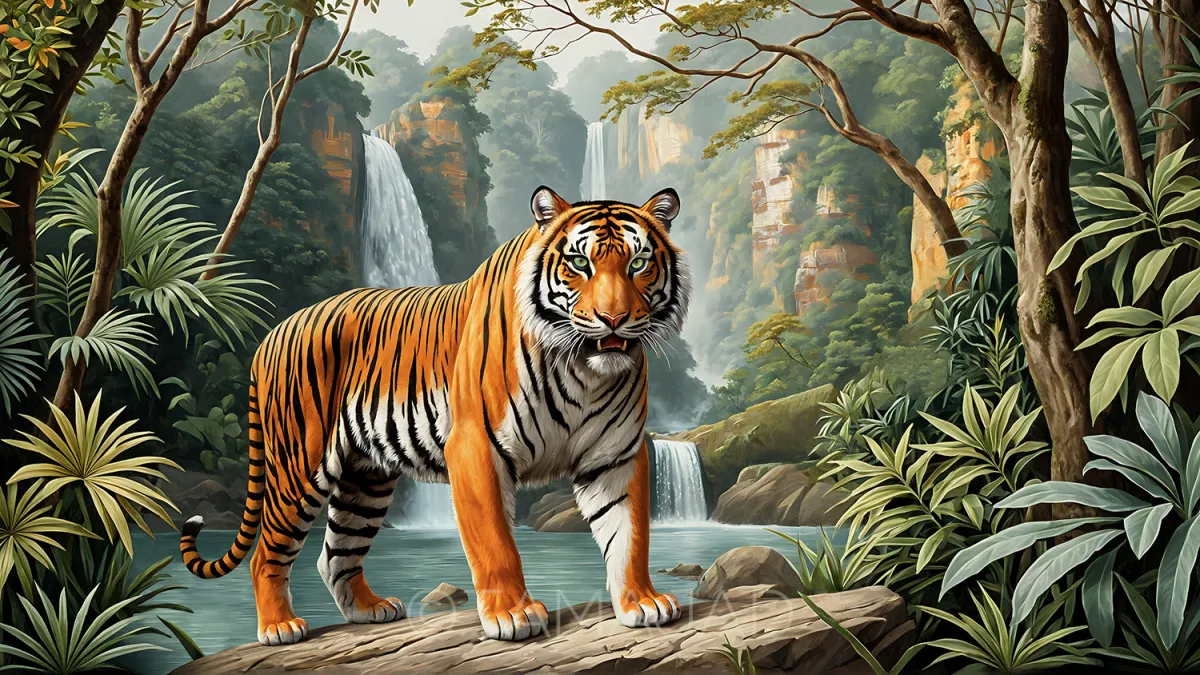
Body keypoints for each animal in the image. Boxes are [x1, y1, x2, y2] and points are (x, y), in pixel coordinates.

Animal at [179, 186, 691, 646]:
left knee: (336, 555)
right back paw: (278, 627)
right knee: (267, 551)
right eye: (580, 264)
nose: (614, 319)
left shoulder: (615, 454)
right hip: (299, 467)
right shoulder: (477, 445)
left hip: (364, 481)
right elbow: (495, 542)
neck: (583, 369)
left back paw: (370, 609)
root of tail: (274, 331)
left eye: (639, 263)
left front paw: (641, 602)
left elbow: (629, 534)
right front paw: (512, 615)